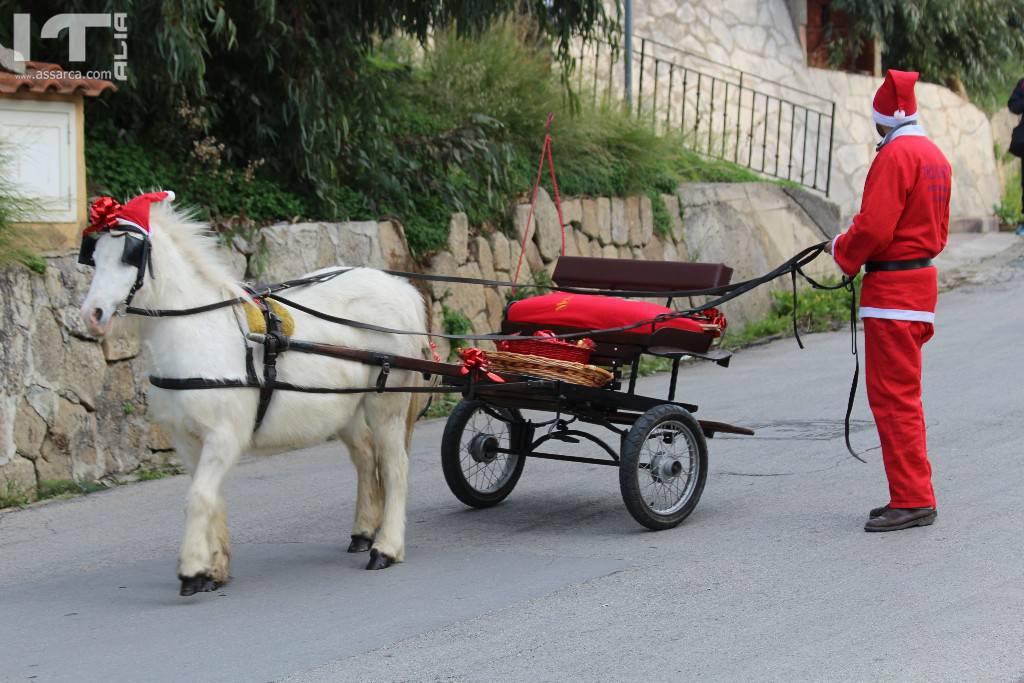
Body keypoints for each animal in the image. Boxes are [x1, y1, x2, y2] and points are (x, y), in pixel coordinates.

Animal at [78, 194, 423, 593]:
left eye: (130, 254)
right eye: (94, 255)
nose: (92, 314)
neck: (198, 330)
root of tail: (399, 287)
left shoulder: (224, 435)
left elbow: (199, 497)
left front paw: (192, 569)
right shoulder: (186, 438)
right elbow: (211, 497)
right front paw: (214, 570)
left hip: (387, 401)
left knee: (395, 466)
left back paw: (386, 547)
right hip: (344, 406)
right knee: (366, 457)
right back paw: (364, 532)